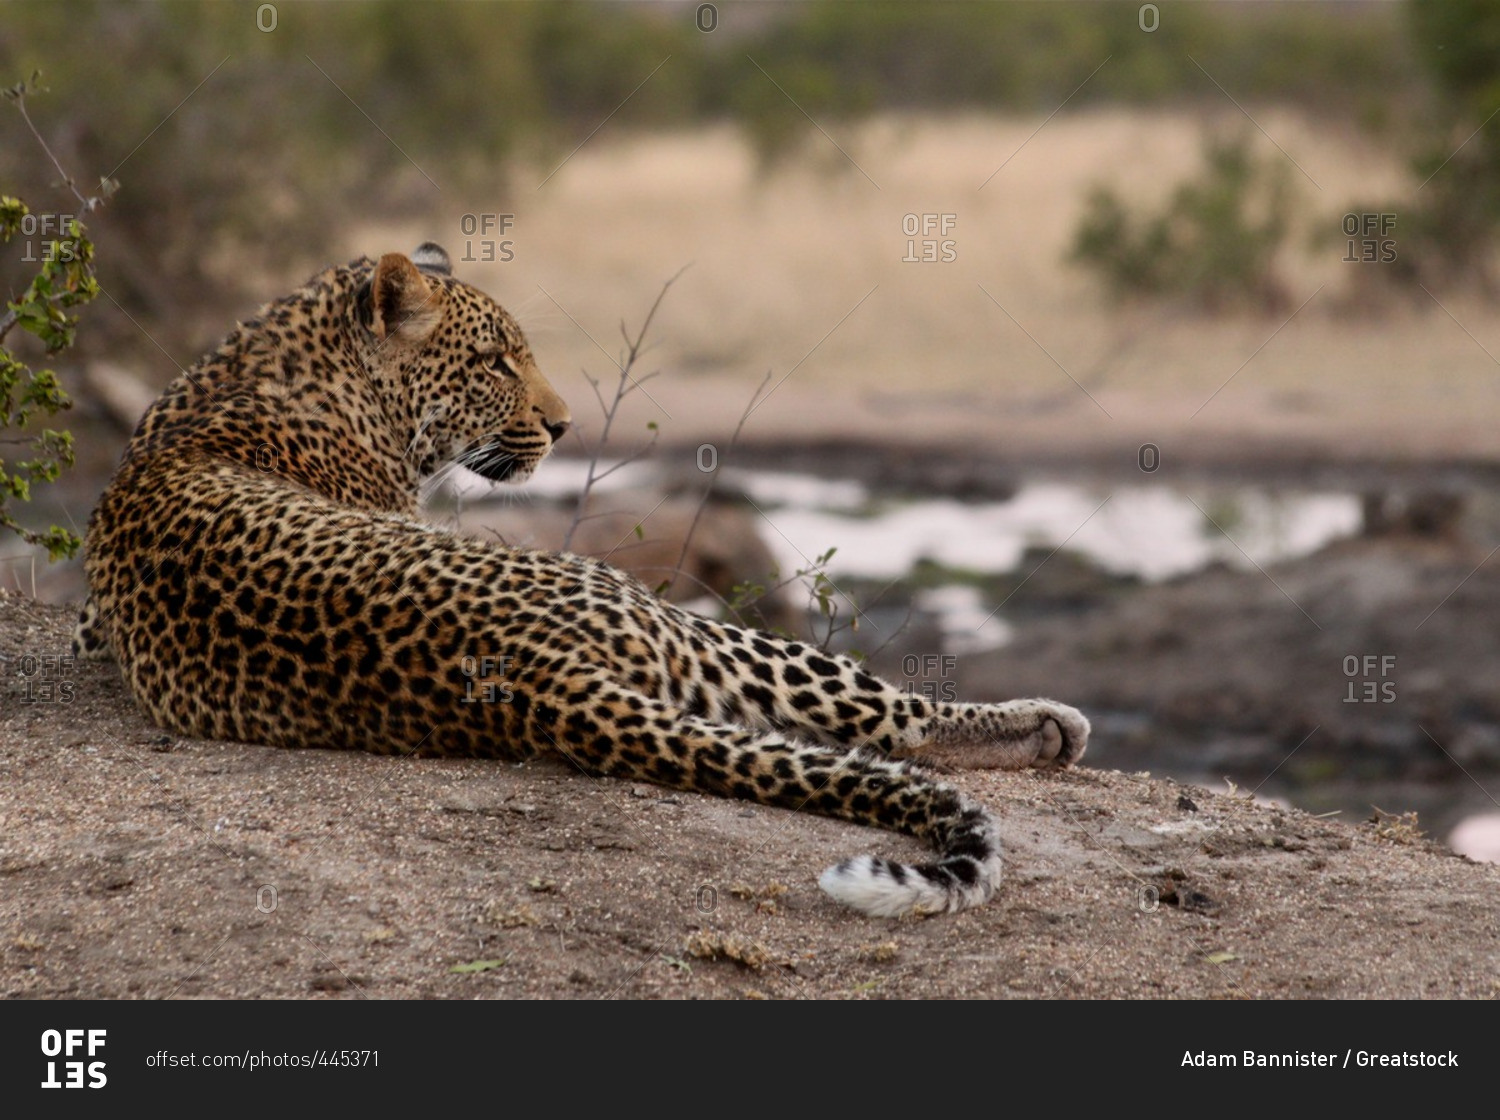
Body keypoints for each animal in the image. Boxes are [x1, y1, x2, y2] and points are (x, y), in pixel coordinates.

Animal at [73, 241, 1092, 917]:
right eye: (493, 362)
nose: (563, 426)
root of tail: (535, 677)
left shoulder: (88, 626)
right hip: (690, 623)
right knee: (897, 717)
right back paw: (1045, 727)